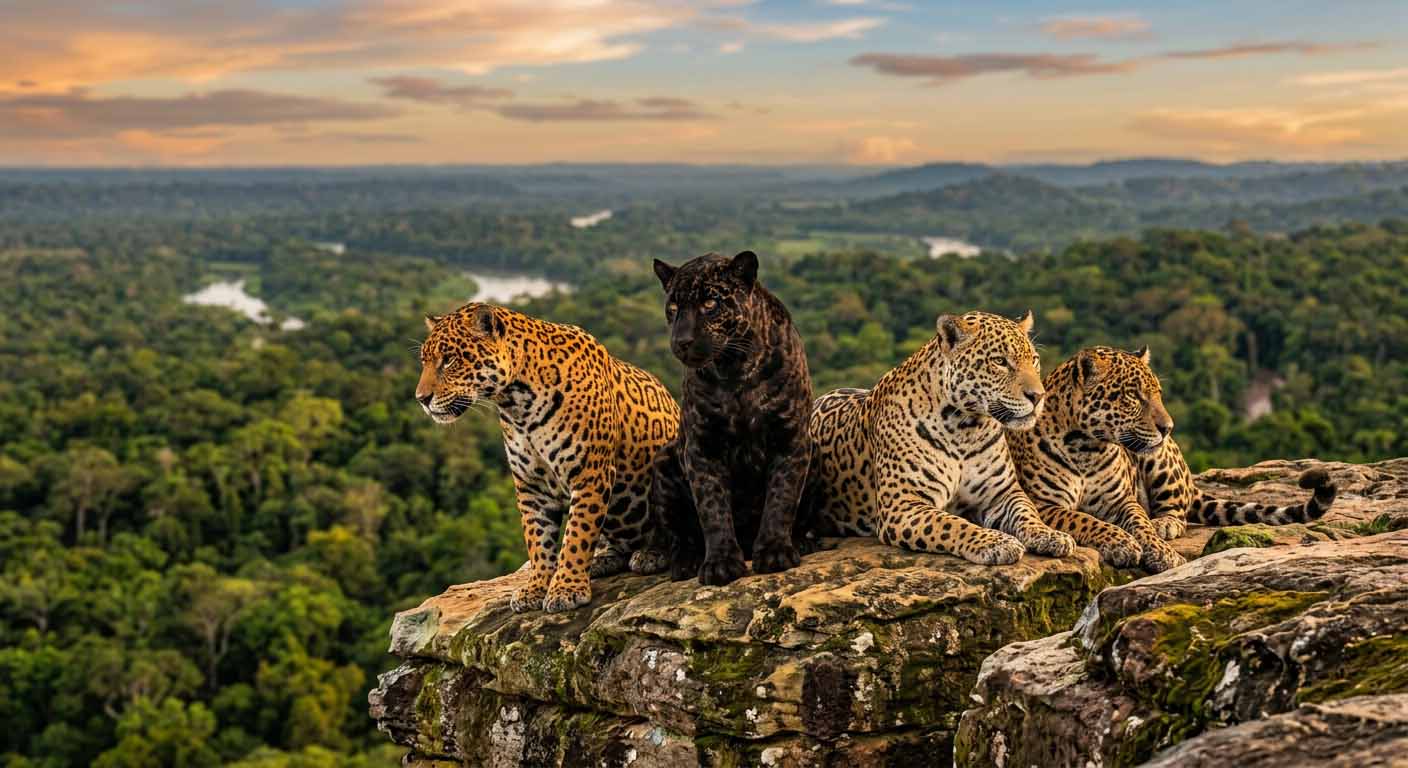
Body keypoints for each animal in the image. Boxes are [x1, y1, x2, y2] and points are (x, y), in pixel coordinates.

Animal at [416, 303, 680, 612]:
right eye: (424, 361)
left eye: (449, 360)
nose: (421, 399)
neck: (517, 405)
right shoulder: (531, 485)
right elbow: (537, 539)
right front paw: (536, 587)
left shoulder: (590, 474)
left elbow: (577, 534)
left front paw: (566, 588)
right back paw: (603, 560)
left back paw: (652, 554)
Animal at [805, 310, 1076, 564]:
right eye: (1000, 361)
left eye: (1034, 360)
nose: (1038, 396)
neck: (966, 428)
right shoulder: (903, 504)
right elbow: (952, 523)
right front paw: (996, 542)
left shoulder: (1004, 493)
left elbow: (1027, 513)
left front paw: (1051, 535)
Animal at [1005, 345, 1337, 573]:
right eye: (1132, 396)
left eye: (1158, 393)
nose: (1168, 427)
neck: (1087, 447)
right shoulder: (1044, 504)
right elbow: (1084, 518)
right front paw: (1121, 542)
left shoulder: (1122, 500)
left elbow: (1140, 521)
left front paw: (1161, 551)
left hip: (1158, 459)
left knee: (1179, 511)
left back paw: (1165, 523)